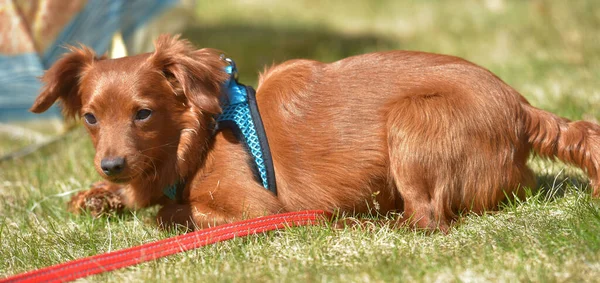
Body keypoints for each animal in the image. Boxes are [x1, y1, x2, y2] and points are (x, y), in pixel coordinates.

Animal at [29, 34, 600, 233]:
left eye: (144, 113)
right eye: (90, 118)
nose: (110, 166)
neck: (203, 131)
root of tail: (522, 107)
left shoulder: (258, 207)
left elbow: (173, 211)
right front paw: (96, 196)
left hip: (411, 122)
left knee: (430, 220)